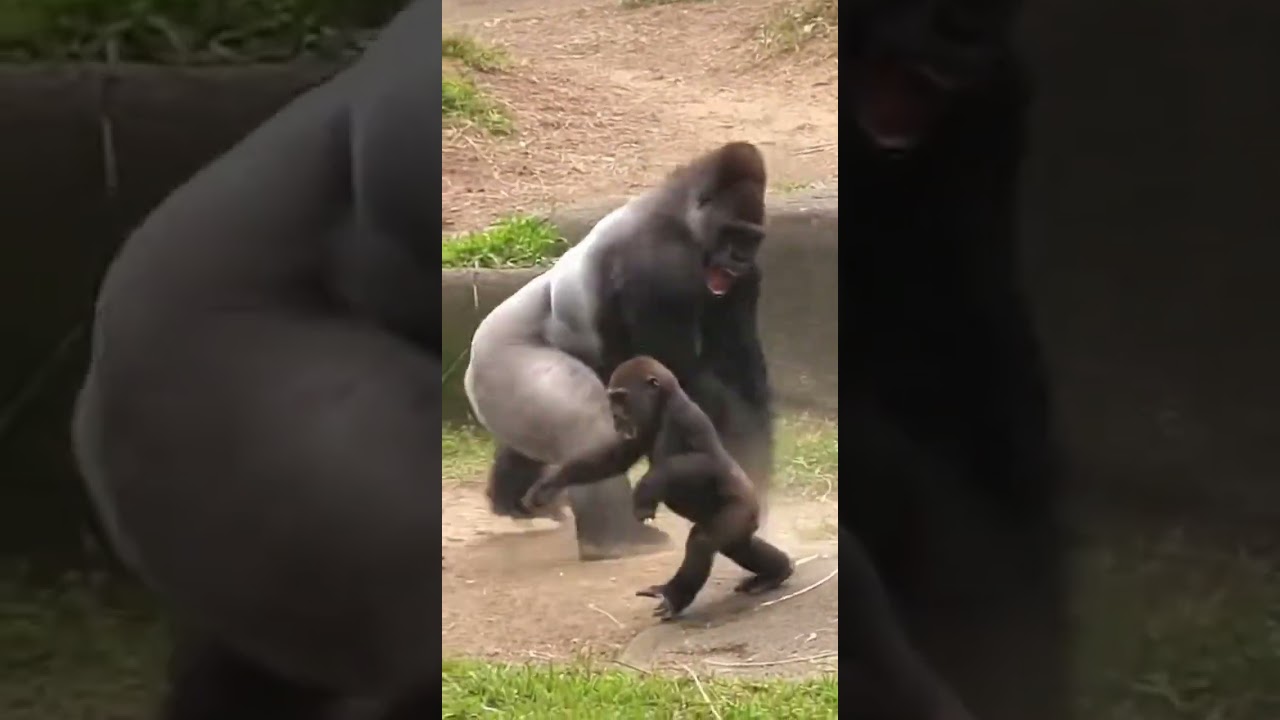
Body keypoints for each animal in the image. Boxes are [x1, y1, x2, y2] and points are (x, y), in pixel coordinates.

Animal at [463, 141, 776, 562]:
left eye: (750, 239)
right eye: (731, 233)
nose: (738, 258)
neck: (682, 216)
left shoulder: (744, 280)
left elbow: (739, 367)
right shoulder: (662, 267)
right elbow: (685, 376)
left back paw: (514, 499)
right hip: (502, 361)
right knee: (586, 420)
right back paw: (618, 540)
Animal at [522, 356, 792, 620]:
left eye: (621, 398)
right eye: (613, 399)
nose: (615, 416)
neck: (663, 404)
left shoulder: (685, 417)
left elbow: (704, 462)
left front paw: (646, 487)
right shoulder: (639, 430)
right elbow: (614, 458)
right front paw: (548, 484)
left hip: (742, 509)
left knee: (704, 542)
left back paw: (674, 596)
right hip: (735, 524)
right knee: (738, 546)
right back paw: (777, 572)